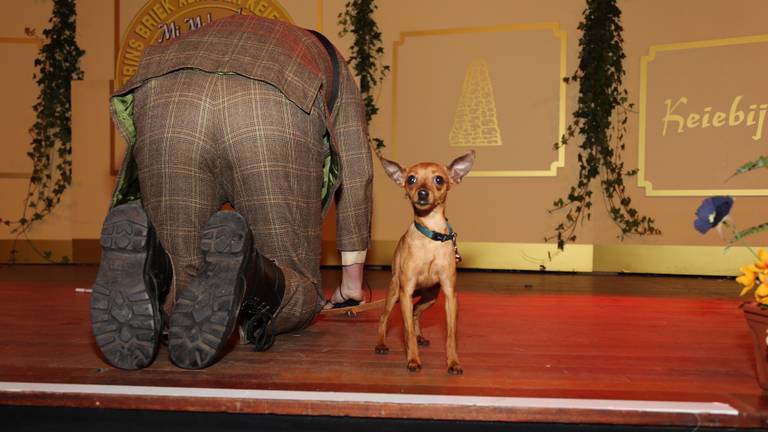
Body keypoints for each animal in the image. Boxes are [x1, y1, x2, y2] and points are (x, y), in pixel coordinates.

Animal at [376, 150, 476, 372]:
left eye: (439, 179)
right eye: (411, 179)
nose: (422, 193)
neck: (431, 234)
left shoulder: (450, 295)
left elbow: (450, 335)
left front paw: (453, 362)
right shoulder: (406, 292)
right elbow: (406, 332)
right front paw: (413, 359)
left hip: (430, 297)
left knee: (415, 312)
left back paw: (420, 335)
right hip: (394, 293)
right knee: (384, 317)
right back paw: (381, 344)